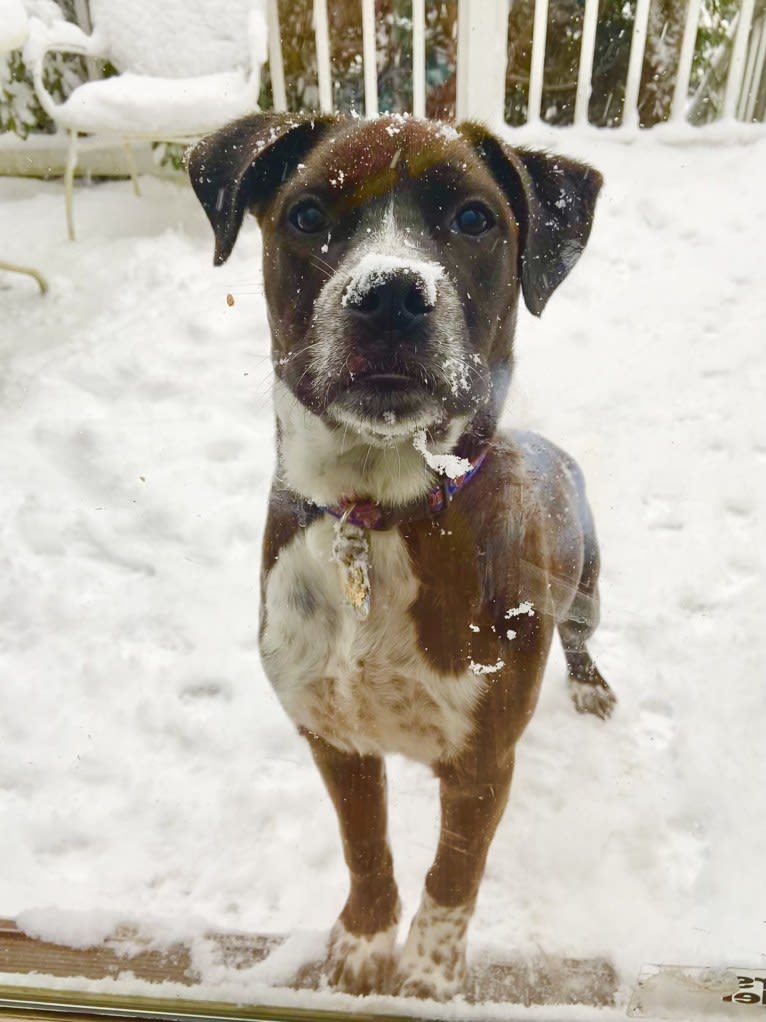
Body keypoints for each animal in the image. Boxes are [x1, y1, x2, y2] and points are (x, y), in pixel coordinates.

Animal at [188, 111, 616, 997]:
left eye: (475, 218)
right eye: (307, 213)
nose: (389, 293)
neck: (381, 513)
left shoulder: (482, 761)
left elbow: (453, 873)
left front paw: (427, 971)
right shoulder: (334, 737)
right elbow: (365, 847)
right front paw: (363, 941)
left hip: (591, 584)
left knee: (581, 636)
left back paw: (591, 684)